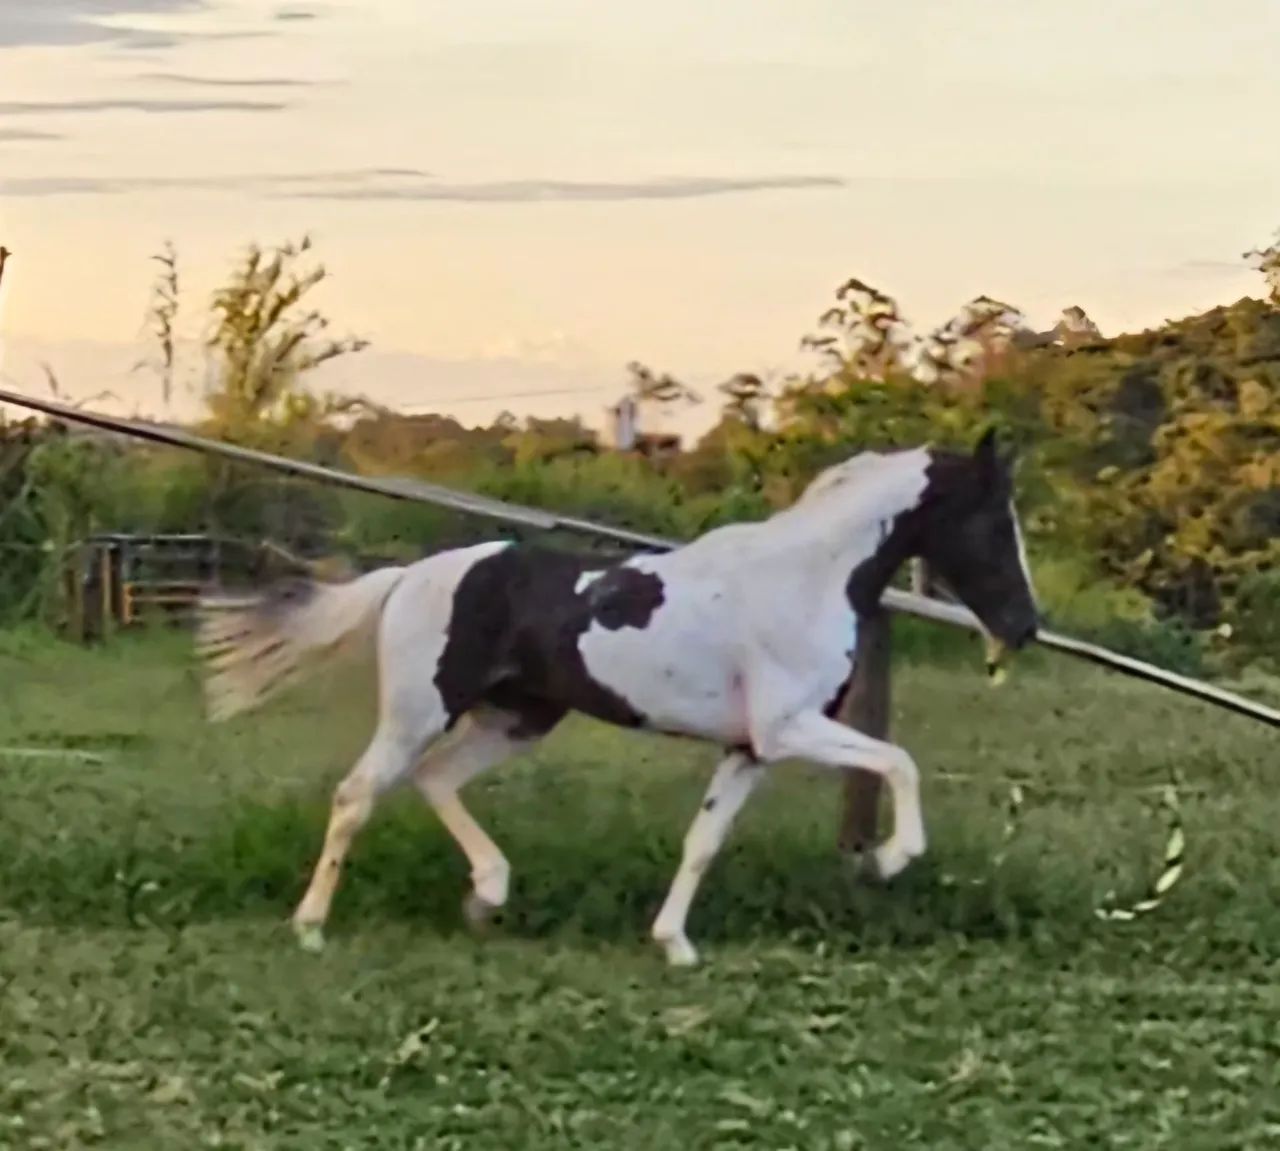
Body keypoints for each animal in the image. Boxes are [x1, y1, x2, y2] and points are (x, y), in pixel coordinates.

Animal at [195, 427, 1039, 967]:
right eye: (992, 523)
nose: (1025, 626)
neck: (804, 579)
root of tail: (409, 576)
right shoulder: (787, 728)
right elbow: (899, 761)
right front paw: (891, 859)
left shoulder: (750, 748)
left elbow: (703, 841)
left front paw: (675, 944)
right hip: (417, 712)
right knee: (357, 794)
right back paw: (311, 926)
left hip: (516, 718)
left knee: (434, 780)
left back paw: (487, 896)